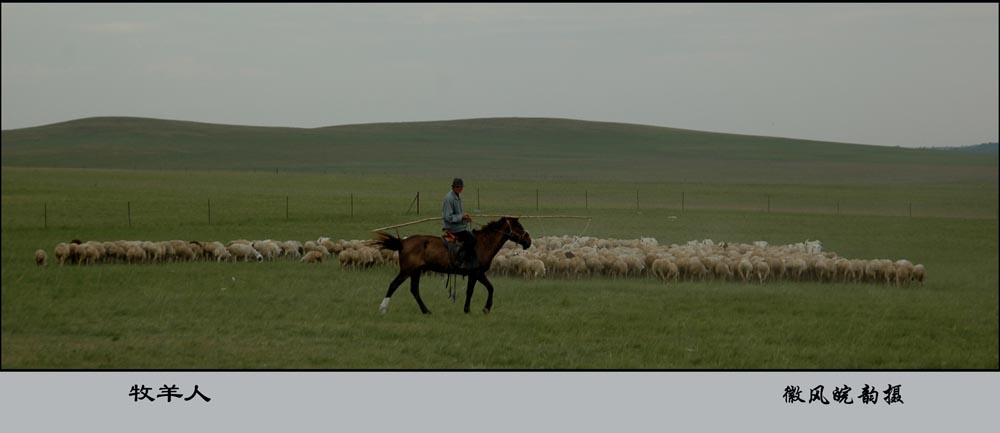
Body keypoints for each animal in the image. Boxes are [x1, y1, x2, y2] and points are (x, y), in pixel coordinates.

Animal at [374, 216, 532, 314]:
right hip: (407, 271)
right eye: (518, 226)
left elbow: (475, 290)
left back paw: (426, 311)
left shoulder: (474, 274)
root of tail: (403, 242)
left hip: (415, 271)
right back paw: (382, 309)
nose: (528, 241)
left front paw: (470, 309)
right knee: (393, 285)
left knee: (414, 290)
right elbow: (486, 289)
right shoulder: (477, 273)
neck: (483, 244)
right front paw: (482, 309)